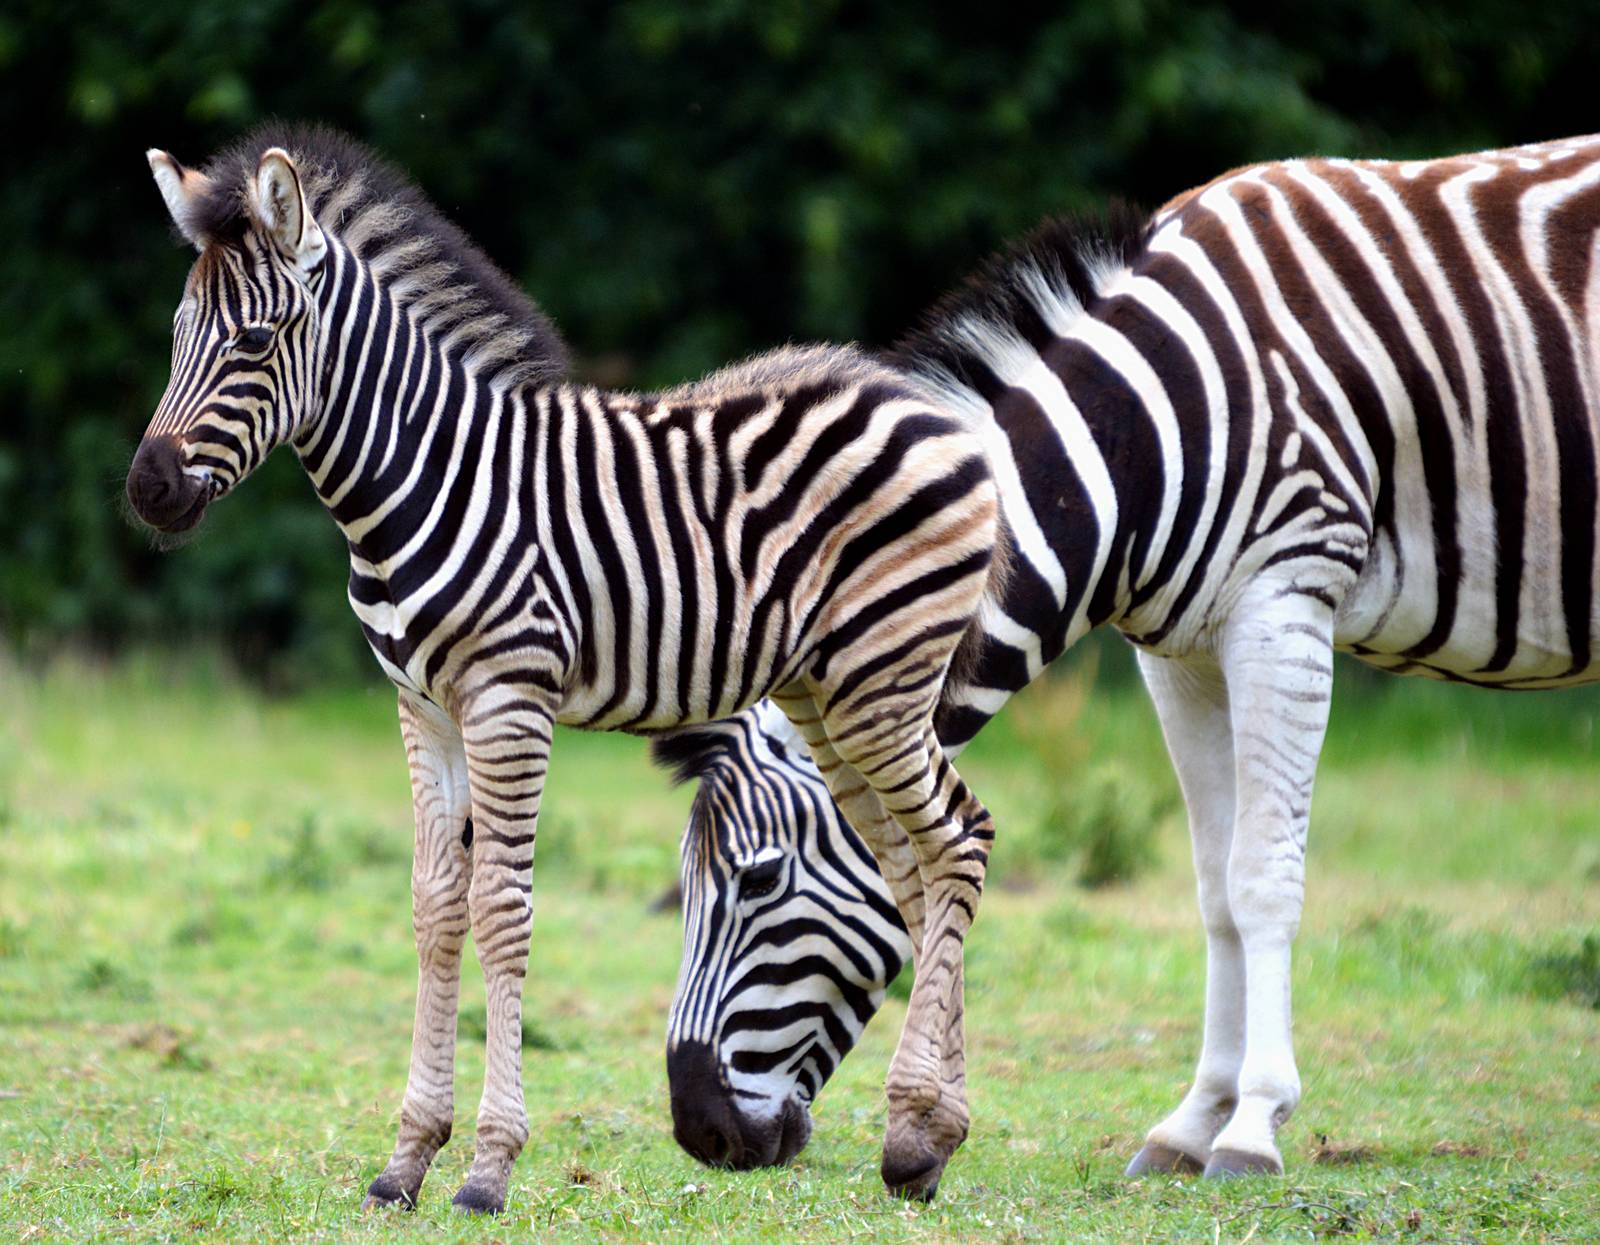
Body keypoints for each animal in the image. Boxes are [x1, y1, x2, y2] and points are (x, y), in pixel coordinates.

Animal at [126, 124, 1009, 1212]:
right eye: (177, 334)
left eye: (252, 342)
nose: (148, 490)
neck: (422, 477)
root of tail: (920, 404)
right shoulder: (421, 704)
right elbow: (433, 907)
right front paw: (405, 1160)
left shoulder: (510, 696)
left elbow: (500, 911)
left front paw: (487, 1167)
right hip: (831, 693)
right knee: (914, 868)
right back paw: (926, 1137)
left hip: (885, 679)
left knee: (958, 841)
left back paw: (918, 1120)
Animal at [657, 135, 1600, 1183]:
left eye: (757, 879)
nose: (699, 1131)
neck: (1141, 440)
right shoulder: (1180, 651)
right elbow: (1212, 884)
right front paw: (1190, 1122)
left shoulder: (1284, 605)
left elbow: (1262, 873)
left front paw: (1253, 1125)